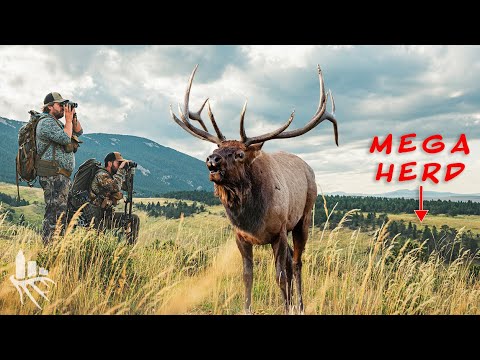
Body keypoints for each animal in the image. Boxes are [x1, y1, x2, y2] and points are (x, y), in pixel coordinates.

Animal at [169, 65, 338, 316]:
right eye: (216, 149)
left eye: (239, 154)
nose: (212, 160)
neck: (252, 218)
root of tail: (308, 168)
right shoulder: (241, 236)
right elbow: (247, 276)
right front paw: (247, 308)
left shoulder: (278, 231)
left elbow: (279, 276)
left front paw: (286, 307)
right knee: (291, 261)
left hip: (303, 218)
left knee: (296, 263)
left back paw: (299, 304)